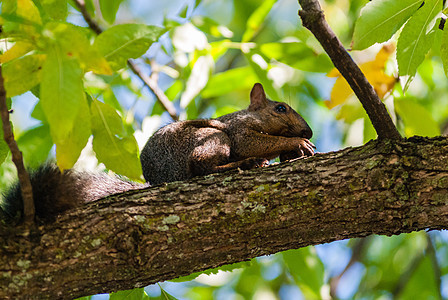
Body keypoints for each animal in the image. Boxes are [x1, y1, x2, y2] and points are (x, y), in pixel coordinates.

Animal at [0, 83, 316, 224]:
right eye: (280, 108)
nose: (309, 132)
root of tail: (164, 179)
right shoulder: (238, 132)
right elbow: (254, 142)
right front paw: (296, 144)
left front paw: (296, 151)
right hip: (210, 138)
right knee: (201, 167)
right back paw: (248, 163)